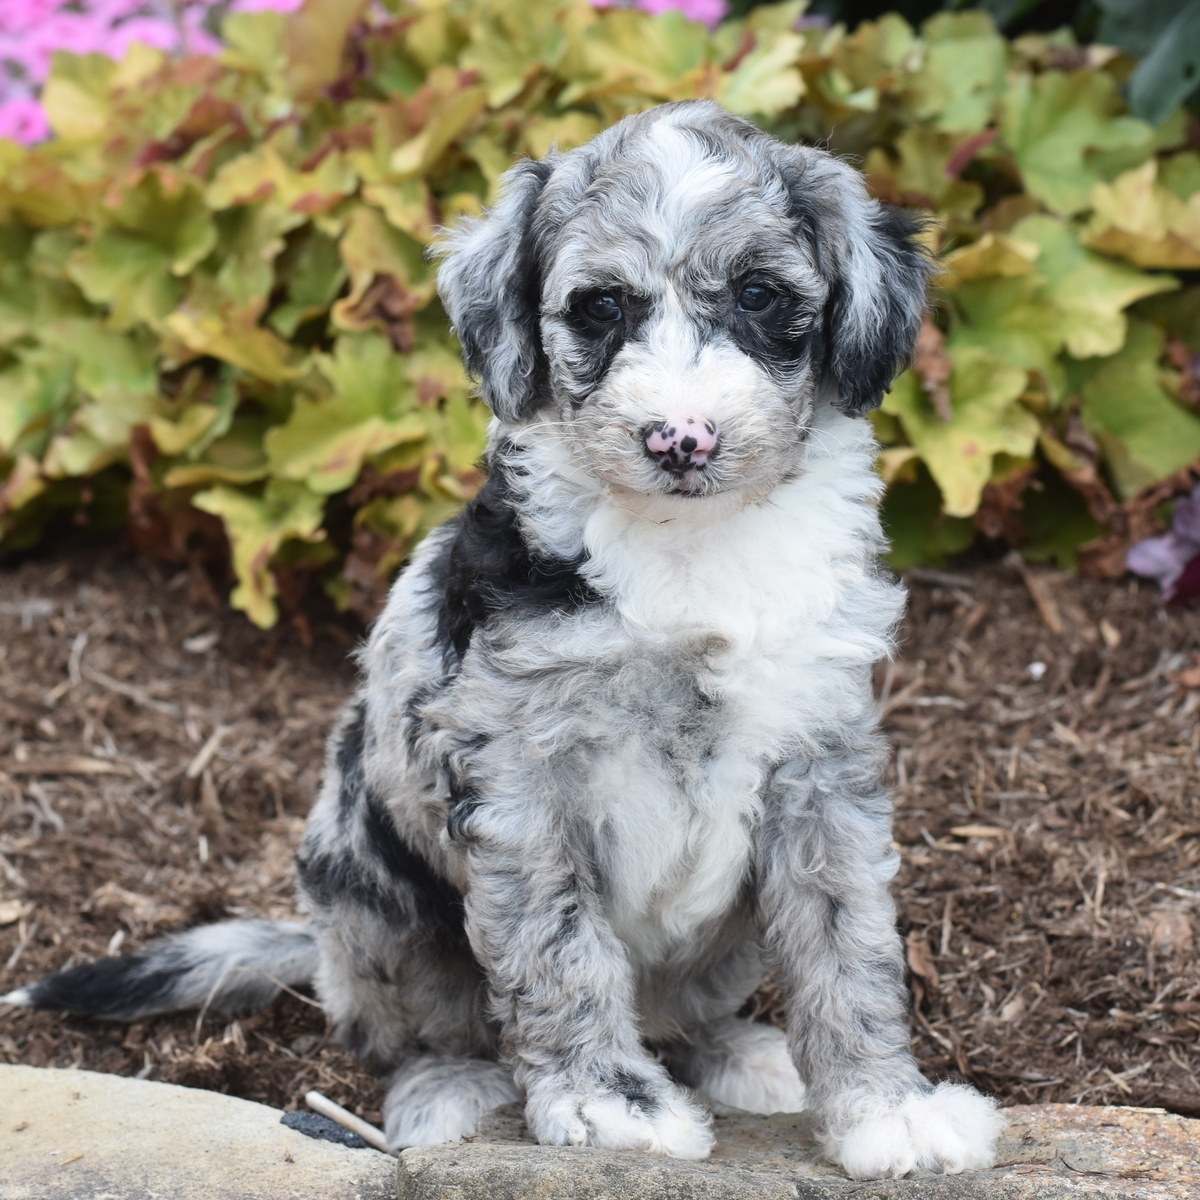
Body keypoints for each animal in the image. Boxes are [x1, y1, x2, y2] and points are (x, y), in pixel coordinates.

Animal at [4, 101, 1002, 1179]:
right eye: (600, 308)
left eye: (759, 294)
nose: (681, 438)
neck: (691, 543)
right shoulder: (524, 776)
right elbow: (559, 946)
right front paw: (610, 1105)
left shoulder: (822, 764)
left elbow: (846, 944)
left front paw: (886, 1111)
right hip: (374, 898)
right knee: (419, 1033)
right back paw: (450, 1094)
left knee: (689, 1012)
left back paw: (741, 1054)